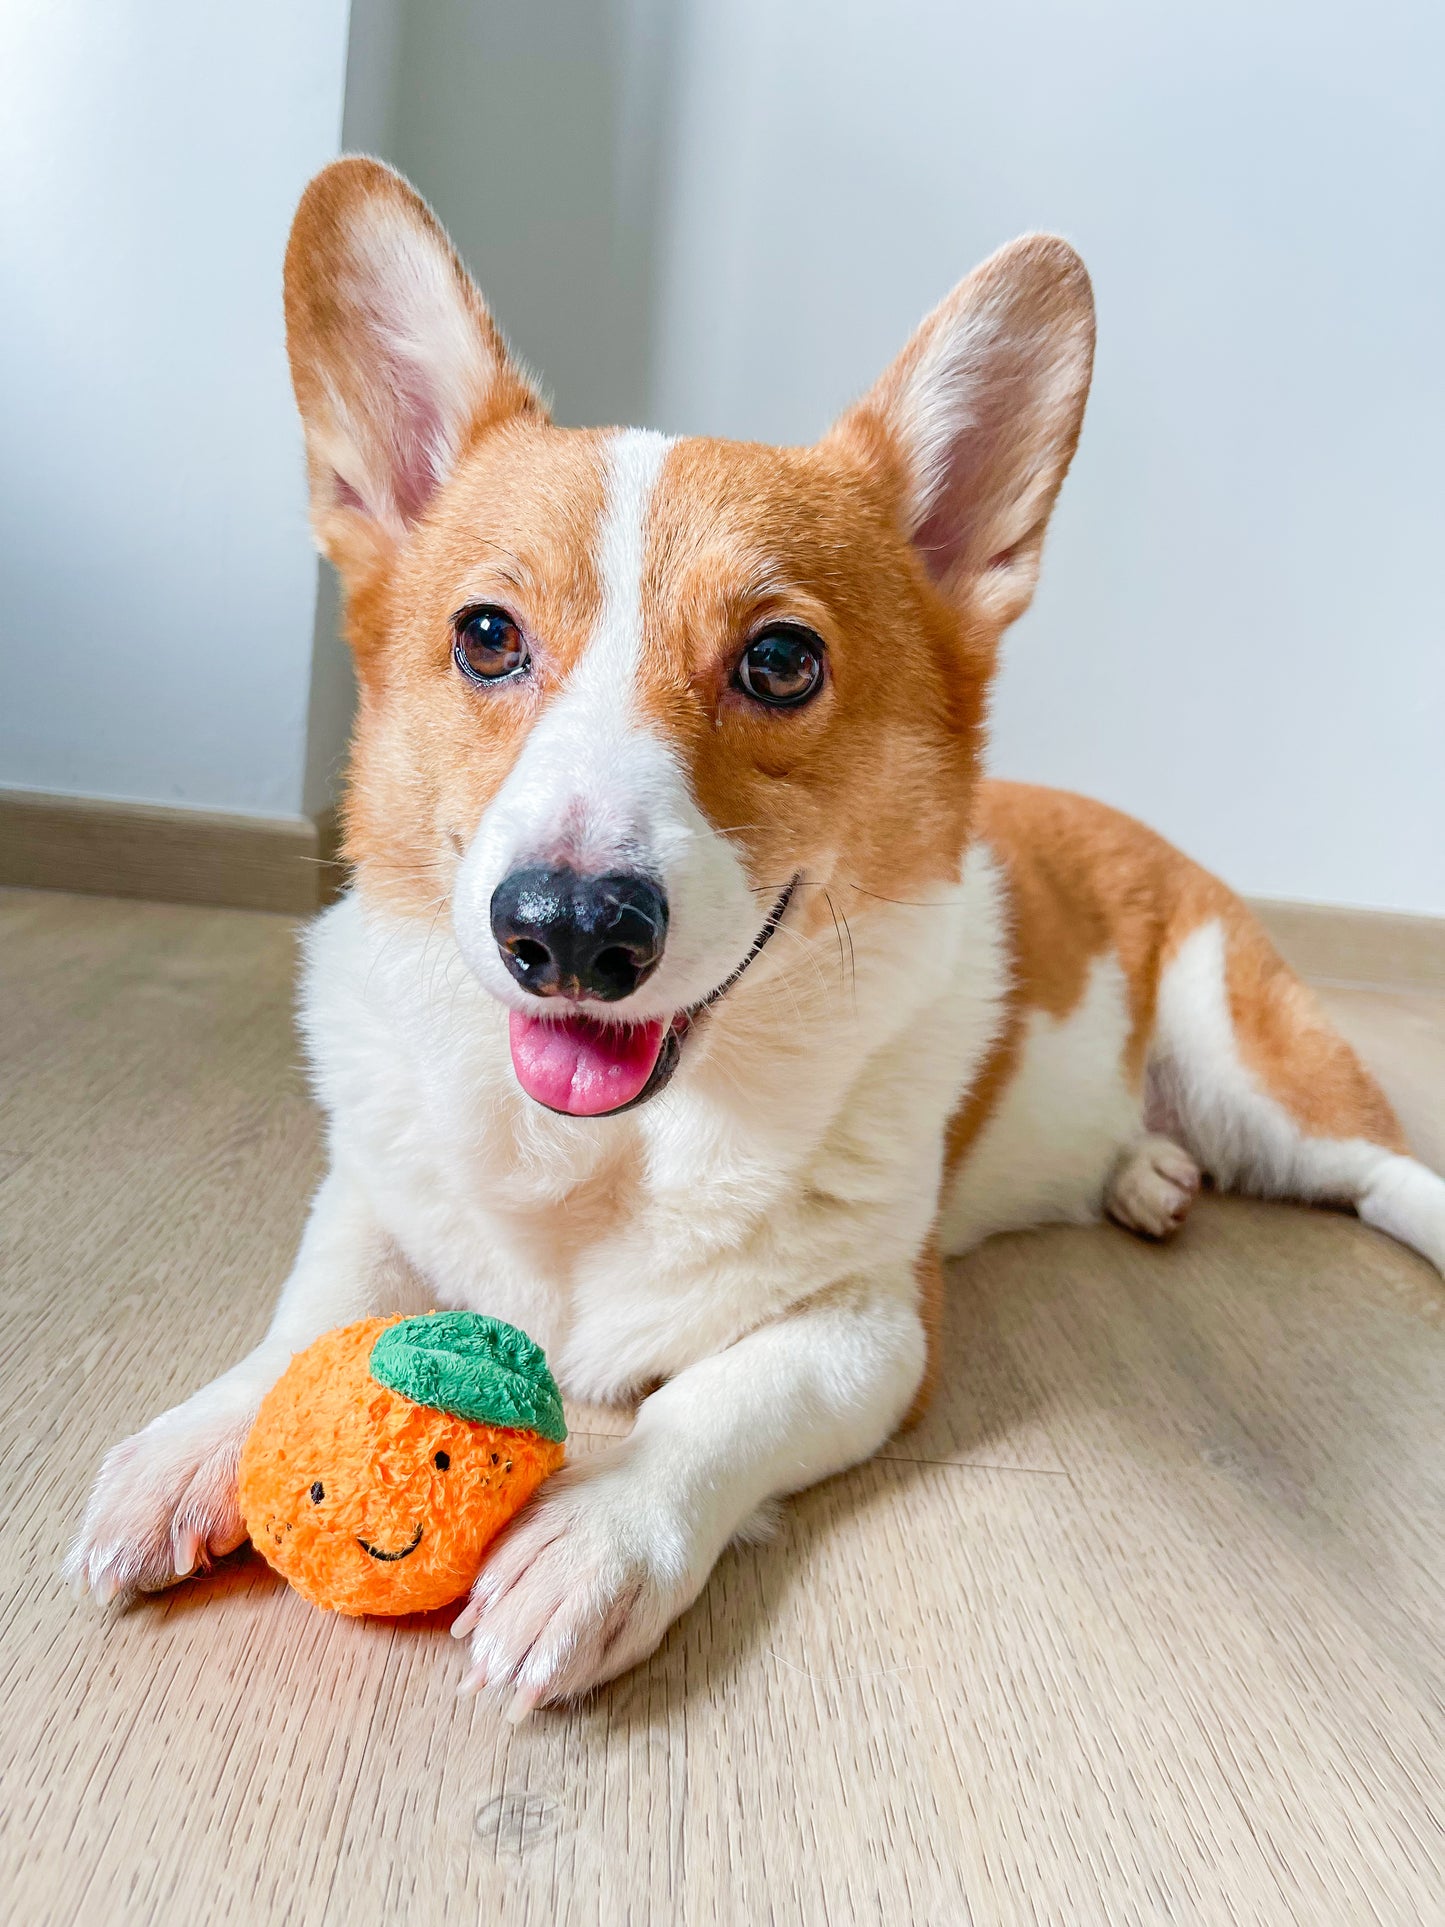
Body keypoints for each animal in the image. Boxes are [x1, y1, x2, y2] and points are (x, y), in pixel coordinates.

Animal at [70, 158, 1445, 1711]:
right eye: (485, 635)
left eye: (780, 660)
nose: (568, 932)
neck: (609, 1155)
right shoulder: (373, 1192)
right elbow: (309, 1310)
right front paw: (198, 1441)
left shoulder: (873, 1324)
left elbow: (716, 1402)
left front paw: (591, 1537)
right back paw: (1144, 1176)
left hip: (1256, 1073)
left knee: (1382, 1173)